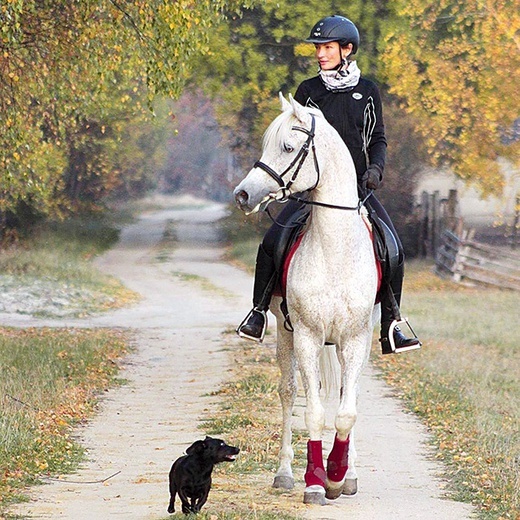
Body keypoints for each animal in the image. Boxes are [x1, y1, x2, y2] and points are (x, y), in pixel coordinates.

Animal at [235, 93, 378, 504]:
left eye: (287, 147)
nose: (243, 195)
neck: (335, 249)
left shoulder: (355, 339)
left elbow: (346, 411)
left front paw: (338, 475)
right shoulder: (308, 336)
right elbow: (312, 411)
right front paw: (315, 481)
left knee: (348, 394)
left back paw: (349, 474)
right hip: (285, 335)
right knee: (289, 392)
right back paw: (284, 473)